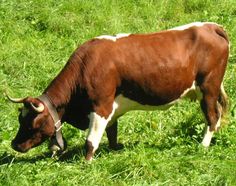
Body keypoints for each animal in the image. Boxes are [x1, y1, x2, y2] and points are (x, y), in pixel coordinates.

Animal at [7, 22, 229, 161]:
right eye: (19, 118)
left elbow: (91, 140)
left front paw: (86, 163)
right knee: (217, 116)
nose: (14, 144)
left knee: (211, 117)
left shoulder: (100, 106)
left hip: (208, 88)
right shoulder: (111, 108)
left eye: (32, 123)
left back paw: (203, 145)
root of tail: (211, 26)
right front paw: (114, 150)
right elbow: (112, 133)